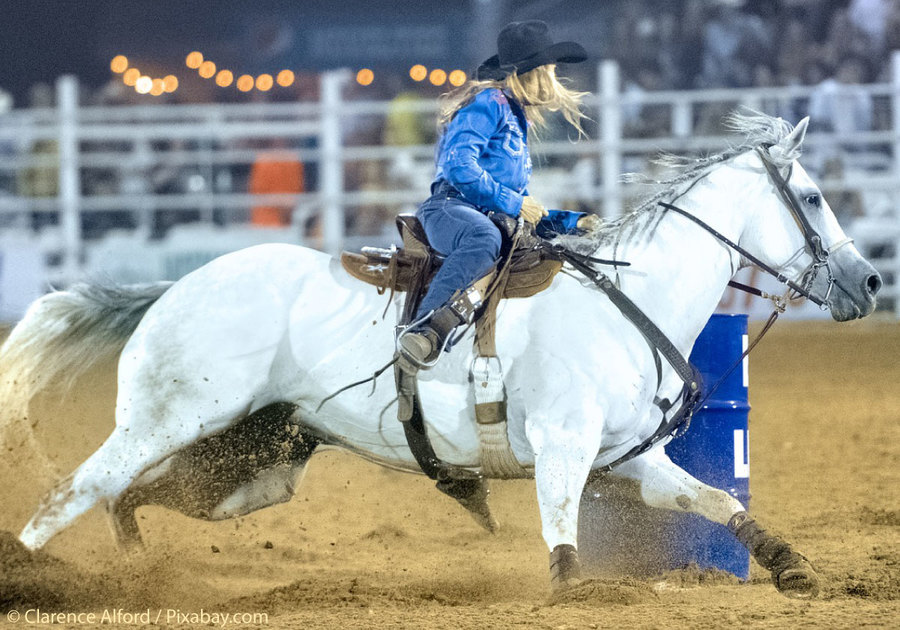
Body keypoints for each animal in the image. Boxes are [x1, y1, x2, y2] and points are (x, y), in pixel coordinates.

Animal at [0, 113, 880, 604]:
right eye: (811, 198)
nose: (871, 280)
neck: (628, 298)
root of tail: (172, 289)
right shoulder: (564, 445)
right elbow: (561, 530)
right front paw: (573, 590)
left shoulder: (629, 458)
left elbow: (717, 502)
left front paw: (794, 569)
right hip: (163, 420)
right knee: (77, 491)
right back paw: (28, 576)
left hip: (252, 467)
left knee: (131, 497)